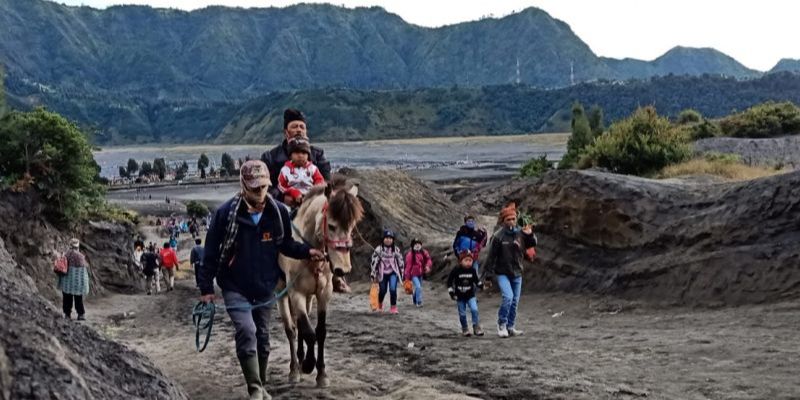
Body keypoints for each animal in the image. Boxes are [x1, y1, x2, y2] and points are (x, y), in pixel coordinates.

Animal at [276, 179, 362, 388]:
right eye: (331, 226)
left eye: (351, 227)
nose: (342, 269)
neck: (309, 253)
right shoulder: (296, 293)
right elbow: (309, 332)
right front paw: (308, 364)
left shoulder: (323, 293)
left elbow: (319, 332)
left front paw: (321, 373)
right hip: (282, 292)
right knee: (291, 330)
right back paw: (295, 369)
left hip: (309, 297)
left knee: (299, 325)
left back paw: (300, 360)